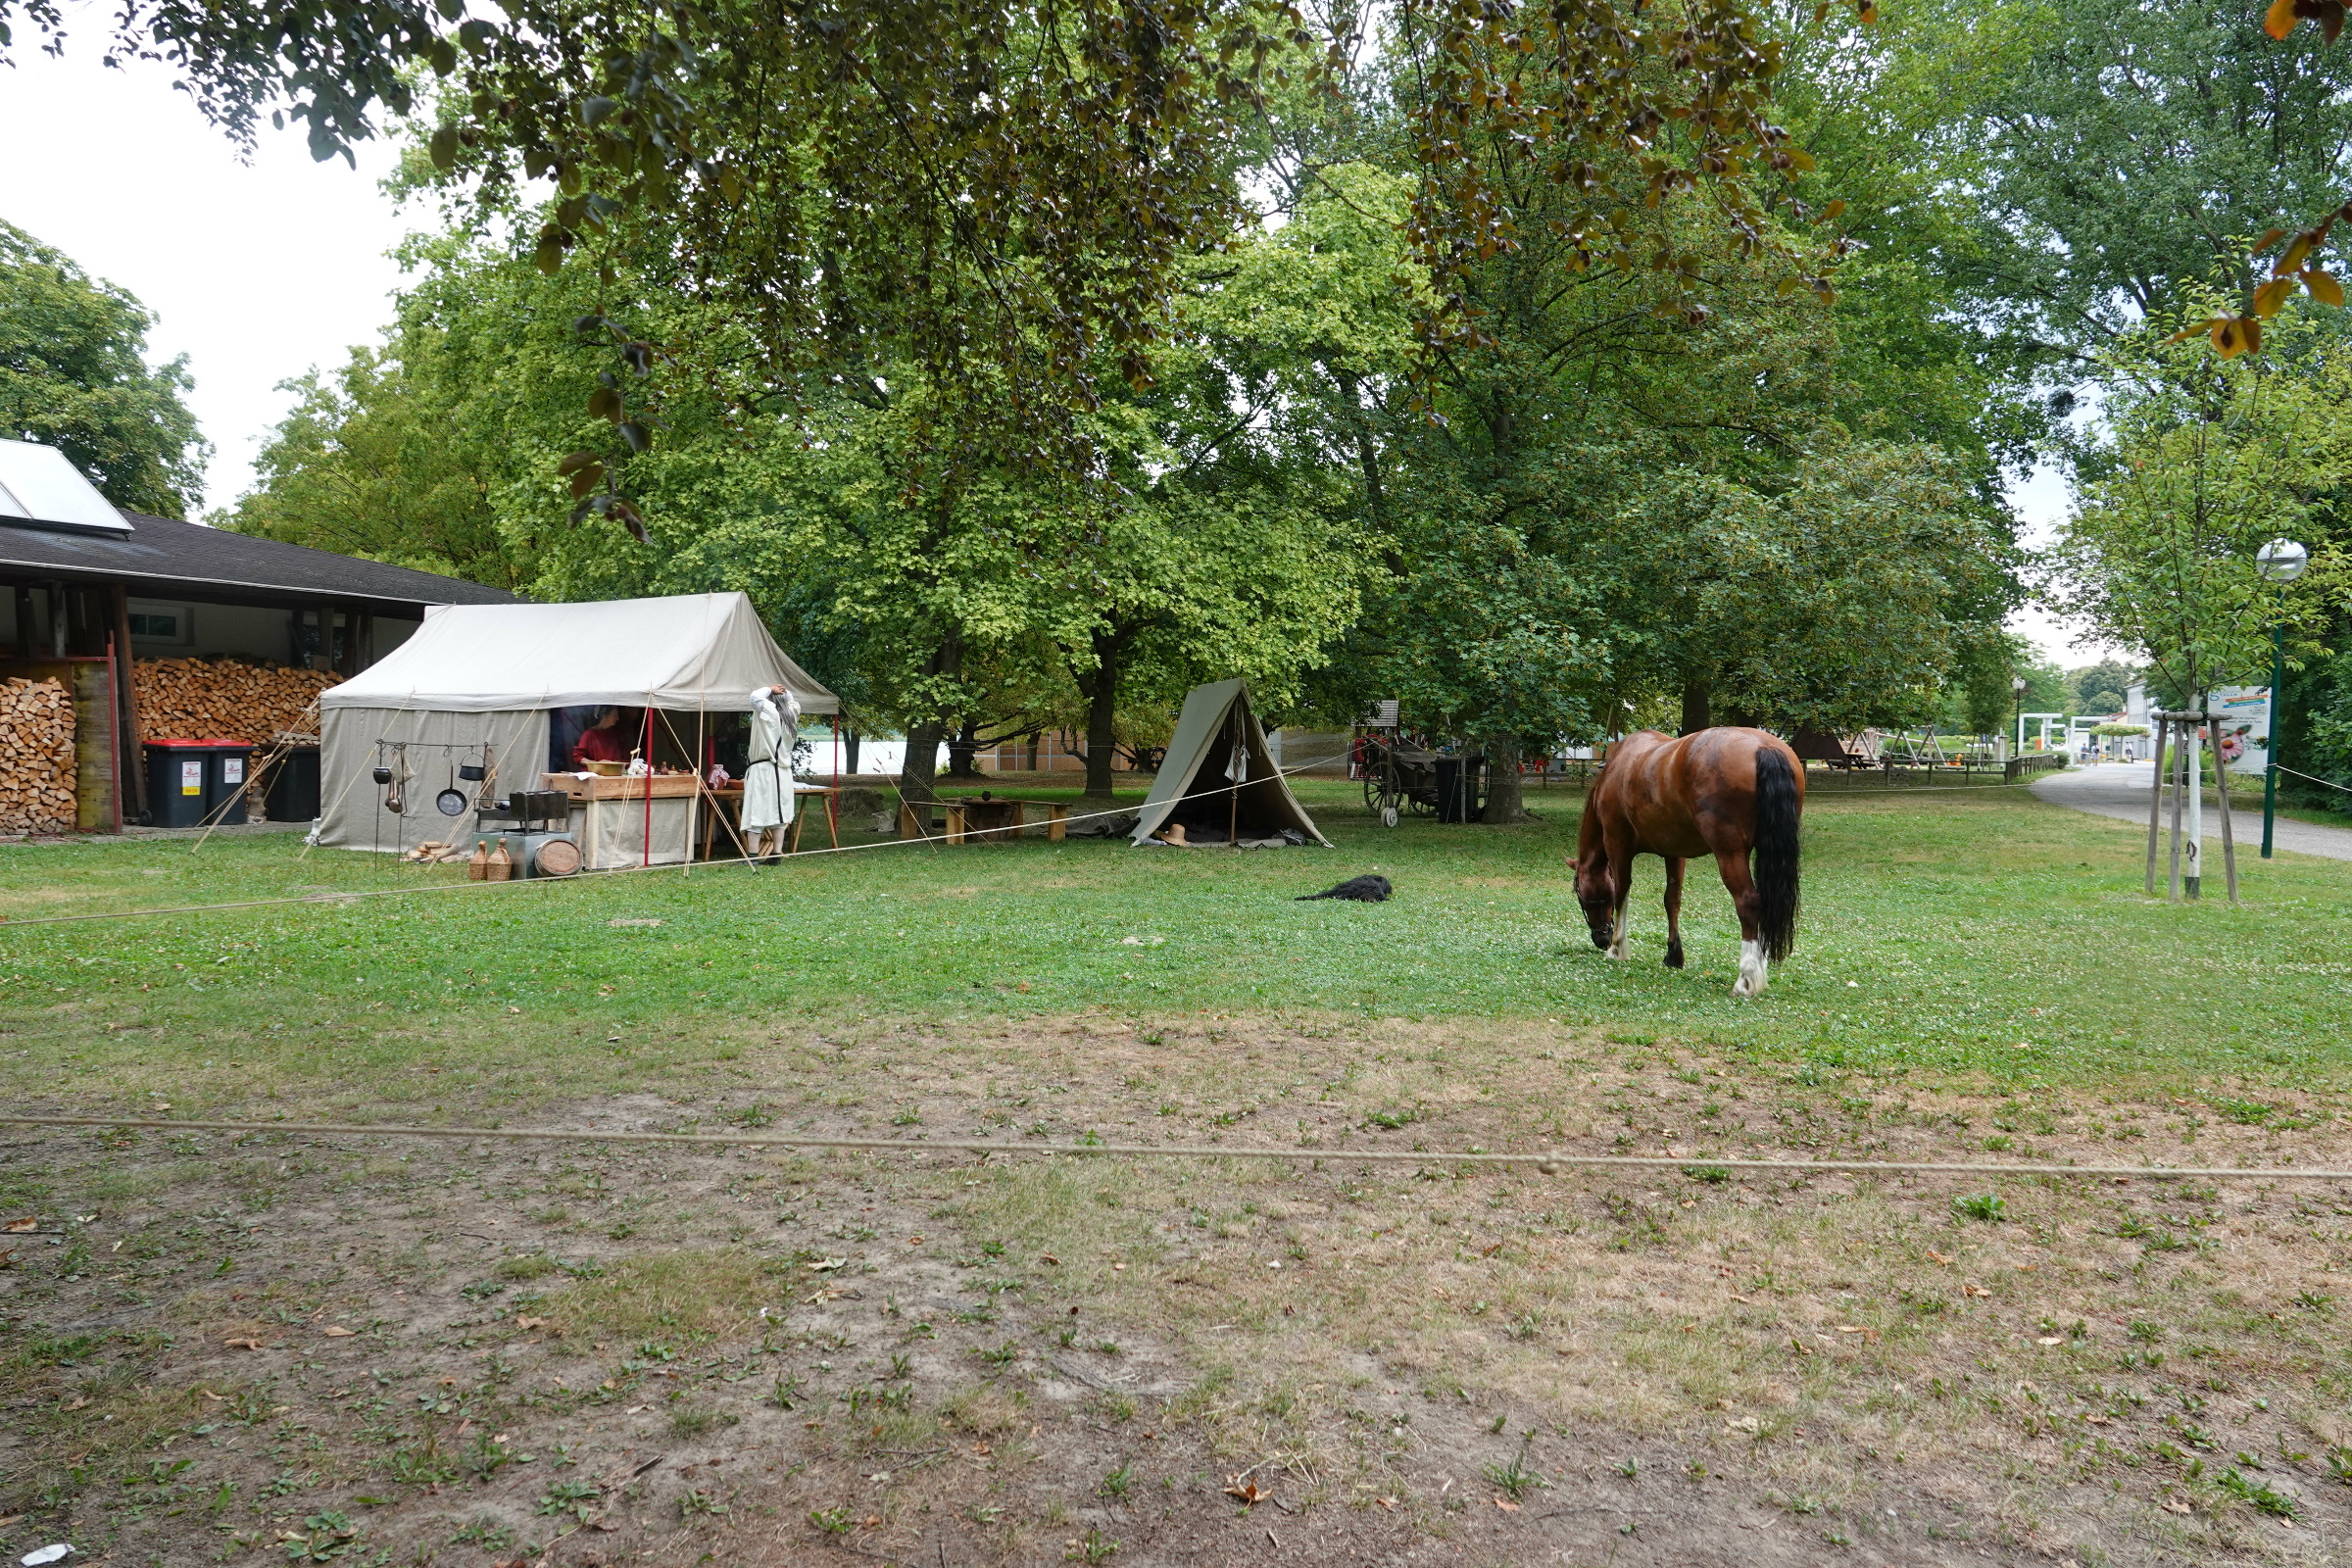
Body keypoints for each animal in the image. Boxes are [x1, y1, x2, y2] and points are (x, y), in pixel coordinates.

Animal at [1571, 727, 1803, 997]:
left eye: (1581, 897)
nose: (1602, 940)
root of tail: (1763, 747)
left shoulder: (1617, 845)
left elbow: (1621, 894)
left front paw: (1617, 948)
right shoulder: (1674, 852)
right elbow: (1672, 900)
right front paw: (1673, 955)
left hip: (1729, 853)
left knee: (1748, 903)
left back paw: (1745, 978)